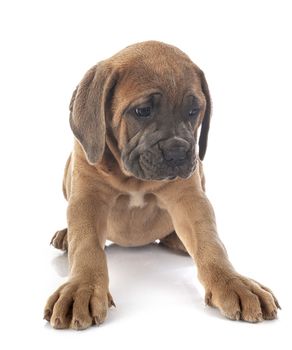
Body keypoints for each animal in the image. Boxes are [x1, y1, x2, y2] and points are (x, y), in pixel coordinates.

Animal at [44, 41, 280, 330]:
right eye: (142, 111)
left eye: (193, 111)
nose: (178, 153)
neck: (132, 177)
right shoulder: (86, 197)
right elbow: (86, 245)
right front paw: (82, 288)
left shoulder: (190, 198)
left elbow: (211, 243)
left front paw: (232, 282)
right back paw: (65, 235)